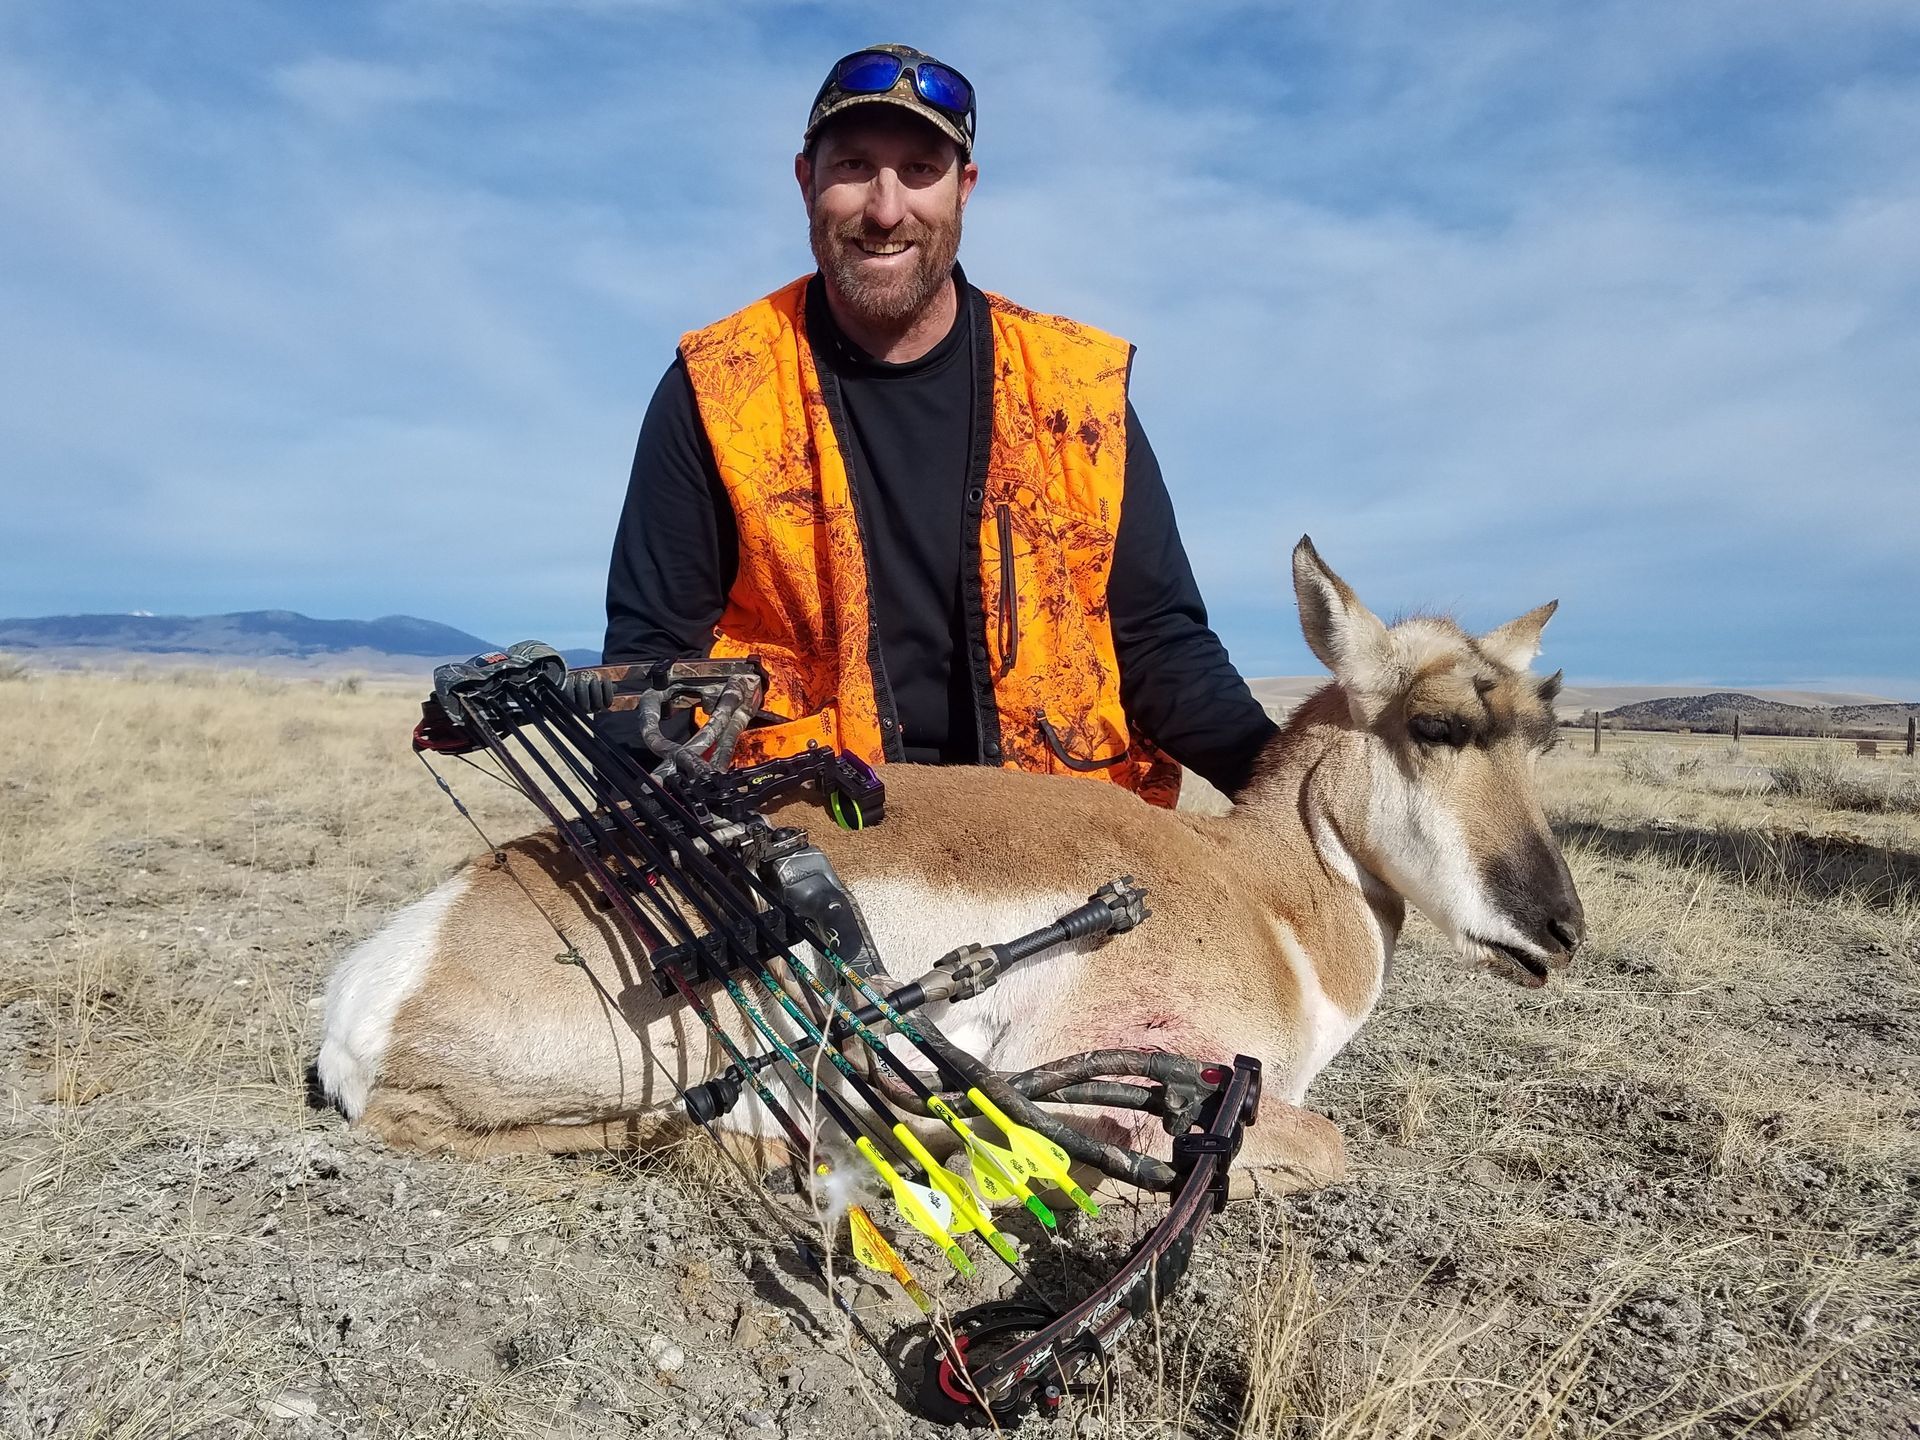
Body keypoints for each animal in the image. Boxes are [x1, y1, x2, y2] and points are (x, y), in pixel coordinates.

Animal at [317, 538, 1584, 1191]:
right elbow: (1325, 1143)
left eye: (1542, 730)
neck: (1259, 888)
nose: (1562, 930)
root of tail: (385, 977)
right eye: (1436, 726)